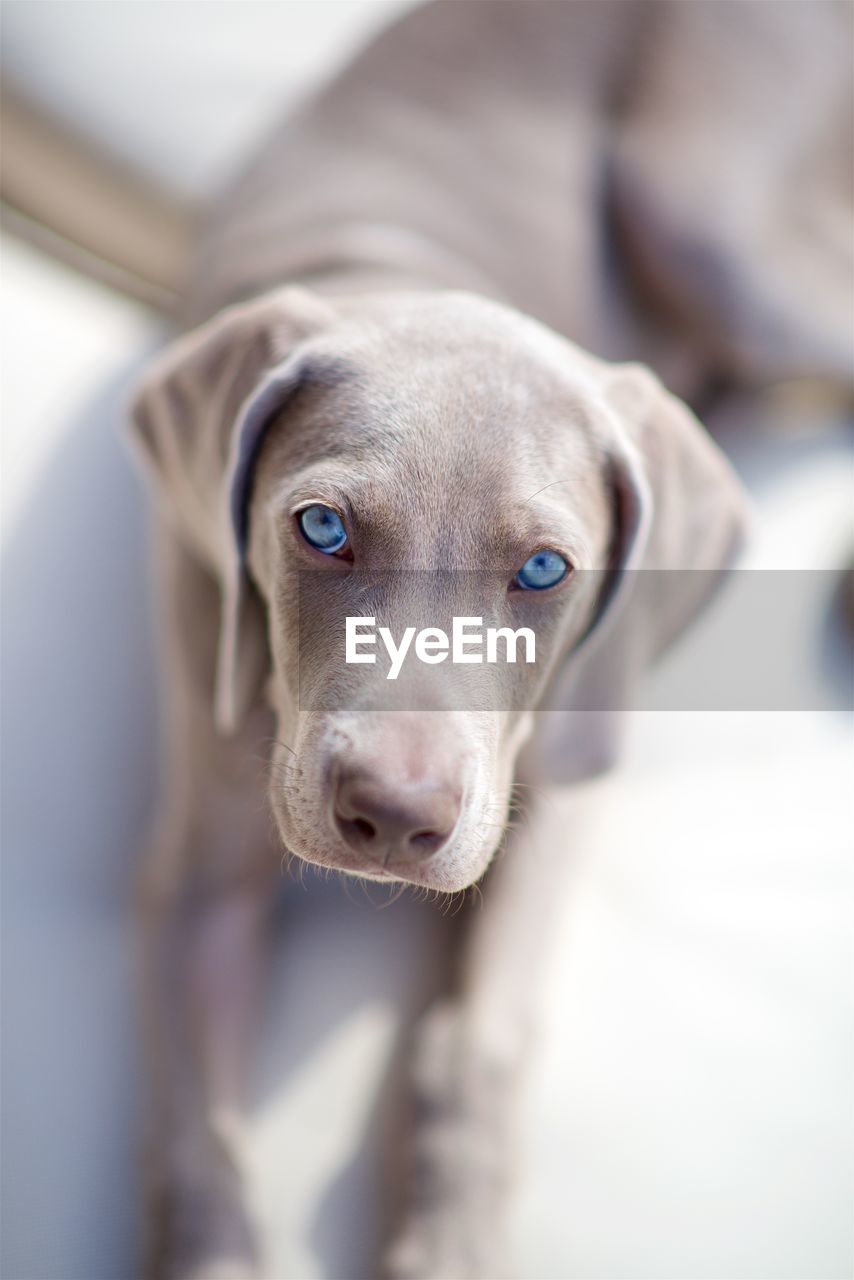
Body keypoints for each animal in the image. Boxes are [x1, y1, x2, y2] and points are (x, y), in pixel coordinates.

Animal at [126, 0, 854, 1274]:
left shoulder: (555, 768)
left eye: (545, 568)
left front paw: (449, 1239)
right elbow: (199, 1137)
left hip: (699, 210)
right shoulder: (197, 868)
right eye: (319, 526)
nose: (393, 815)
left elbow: (474, 1045)